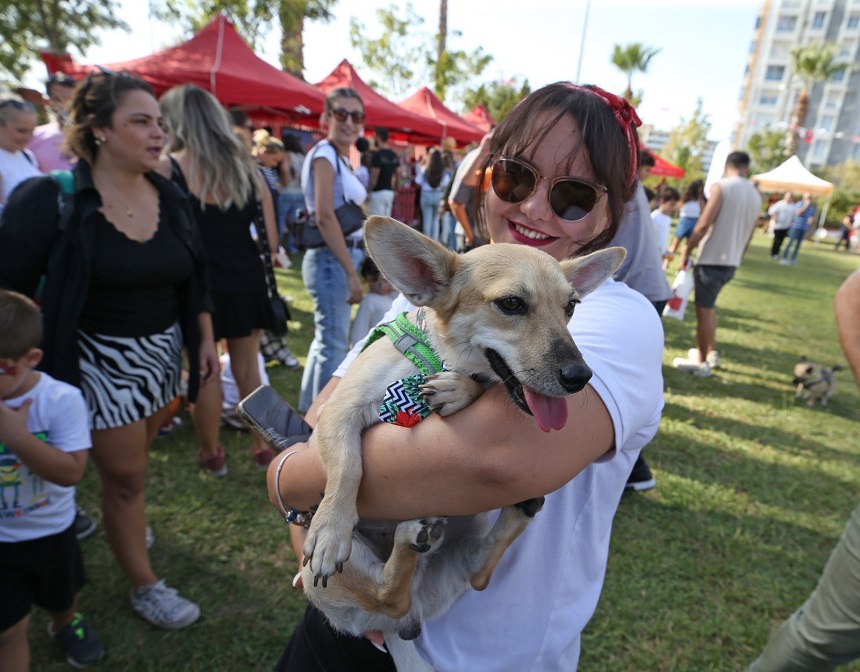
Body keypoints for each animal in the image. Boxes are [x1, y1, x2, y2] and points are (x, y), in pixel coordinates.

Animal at [302, 218, 624, 668]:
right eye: (511, 304)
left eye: (571, 307)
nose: (580, 376)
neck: (434, 360)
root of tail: (402, 627)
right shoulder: (337, 413)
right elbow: (348, 466)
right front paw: (330, 530)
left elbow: (476, 384)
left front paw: (458, 389)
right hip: (328, 580)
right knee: (386, 594)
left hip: (462, 547)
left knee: (470, 577)